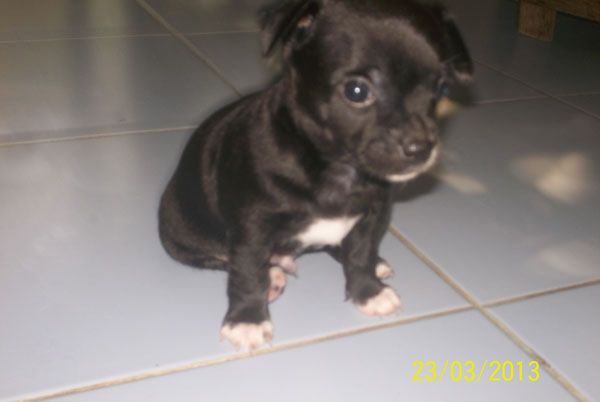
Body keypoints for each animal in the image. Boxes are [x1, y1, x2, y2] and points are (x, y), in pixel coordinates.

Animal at [159, 0, 473, 350]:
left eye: (442, 88)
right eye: (356, 91)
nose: (421, 148)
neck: (335, 167)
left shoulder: (372, 214)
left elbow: (360, 253)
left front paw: (368, 292)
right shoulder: (253, 228)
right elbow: (247, 272)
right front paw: (247, 320)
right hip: (179, 232)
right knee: (223, 258)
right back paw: (273, 274)